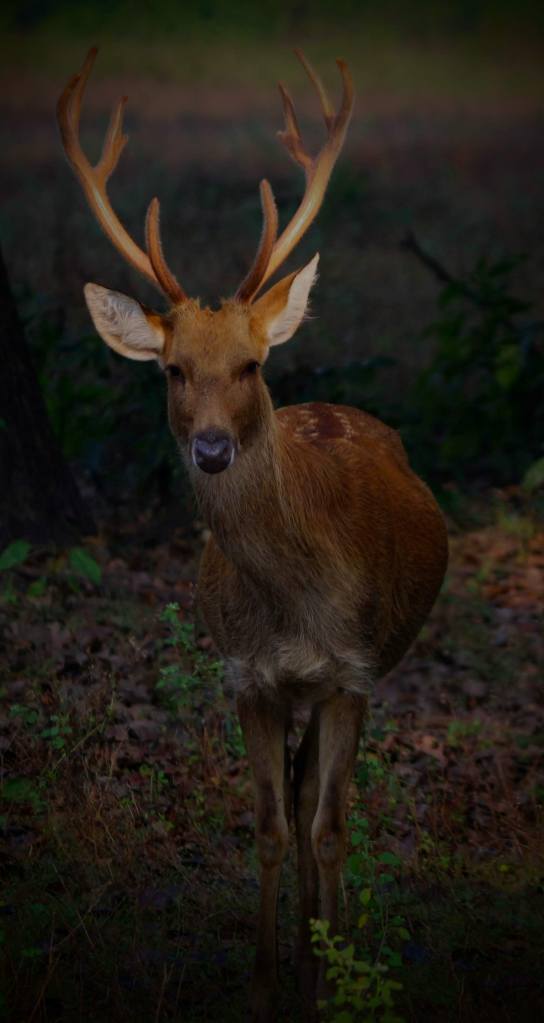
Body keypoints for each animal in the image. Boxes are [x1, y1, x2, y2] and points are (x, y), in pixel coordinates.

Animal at [57, 48, 448, 1022]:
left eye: (250, 363)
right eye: (171, 369)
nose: (210, 448)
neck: (295, 608)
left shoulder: (352, 670)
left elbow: (332, 825)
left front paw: (335, 977)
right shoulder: (246, 674)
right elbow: (271, 825)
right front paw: (271, 979)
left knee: (321, 802)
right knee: (297, 798)